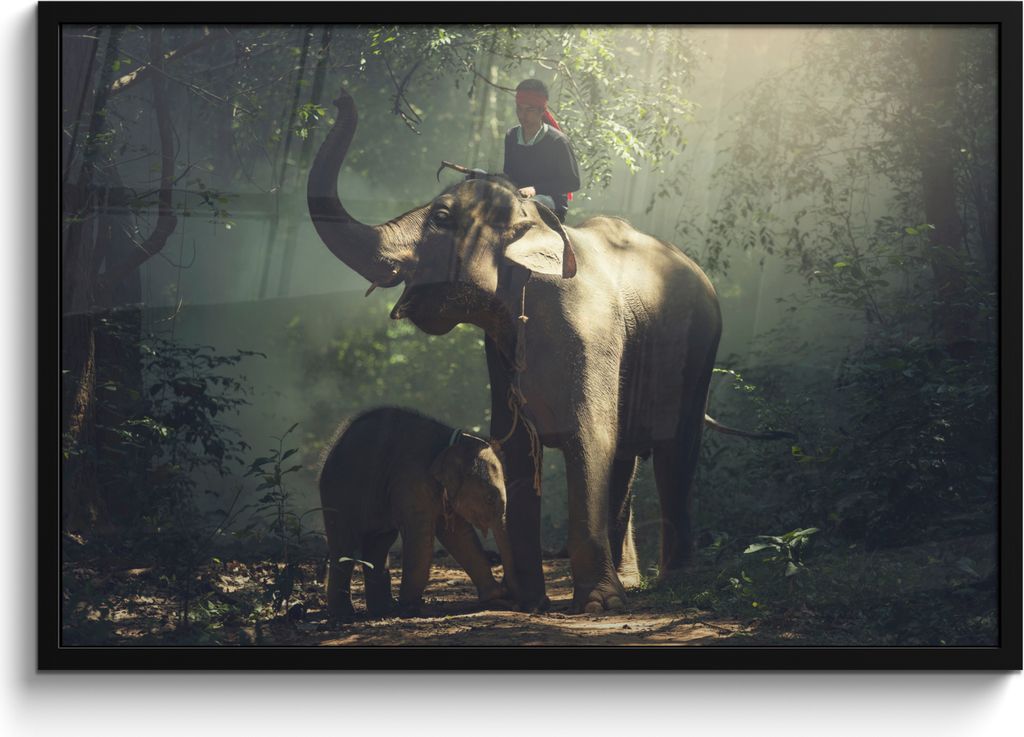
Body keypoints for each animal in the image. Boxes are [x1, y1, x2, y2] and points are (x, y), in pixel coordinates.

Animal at [319, 407, 518, 620]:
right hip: (339, 493)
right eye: (489, 499)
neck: (452, 442)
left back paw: (382, 610)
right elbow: (421, 535)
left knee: (379, 544)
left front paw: (494, 595)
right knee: (344, 544)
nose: (512, 599)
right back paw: (344, 615)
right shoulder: (412, 480)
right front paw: (410, 608)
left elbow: (458, 535)